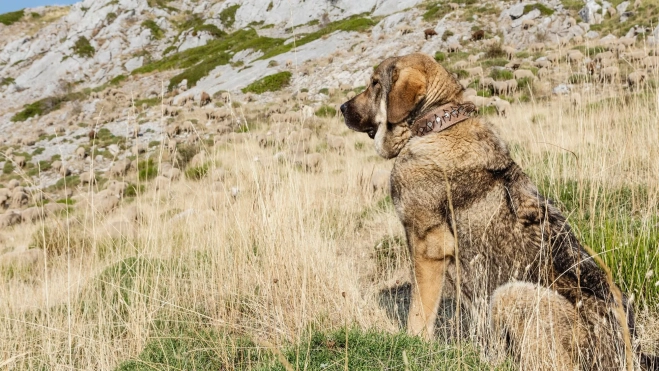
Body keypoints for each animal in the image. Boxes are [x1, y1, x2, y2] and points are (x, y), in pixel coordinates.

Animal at [342, 53, 656, 371]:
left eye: (374, 83)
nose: (342, 108)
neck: (436, 124)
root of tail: (629, 353)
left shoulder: (427, 246)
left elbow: (419, 311)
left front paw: (412, 344)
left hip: (510, 294)